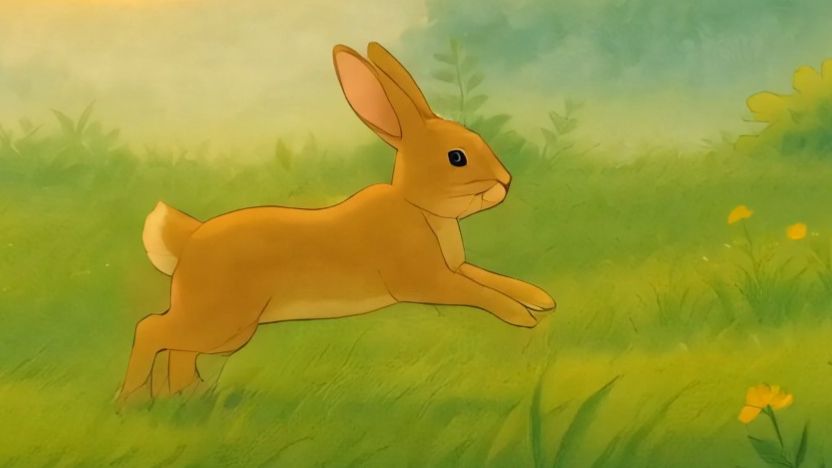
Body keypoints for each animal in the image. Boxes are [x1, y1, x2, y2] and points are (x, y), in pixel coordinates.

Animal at [117, 42, 555, 405]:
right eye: (457, 157)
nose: (506, 181)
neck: (417, 206)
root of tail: (187, 240)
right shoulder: (427, 281)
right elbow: (478, 292)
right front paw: (523, 318)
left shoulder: (455, 267)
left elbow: (490, 278)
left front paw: (539, 299)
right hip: (222, 320)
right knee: (151, 330)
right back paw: (132, 401)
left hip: (227, 329)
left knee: (178, 349)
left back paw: (189, 395)